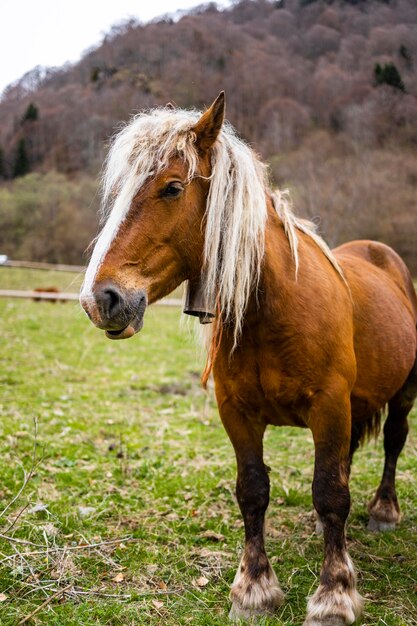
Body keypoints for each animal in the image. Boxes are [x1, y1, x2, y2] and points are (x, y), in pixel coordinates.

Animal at [79, 94, 416, 624]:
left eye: (172, 188)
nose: (99, 299)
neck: (273, 308)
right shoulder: (237, 412)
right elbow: (254, 492)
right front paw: (254, 589)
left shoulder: (329, 406)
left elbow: (330, 492)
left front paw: (334, 594)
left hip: (403, 394)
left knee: (393, 444)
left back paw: (384, 510)